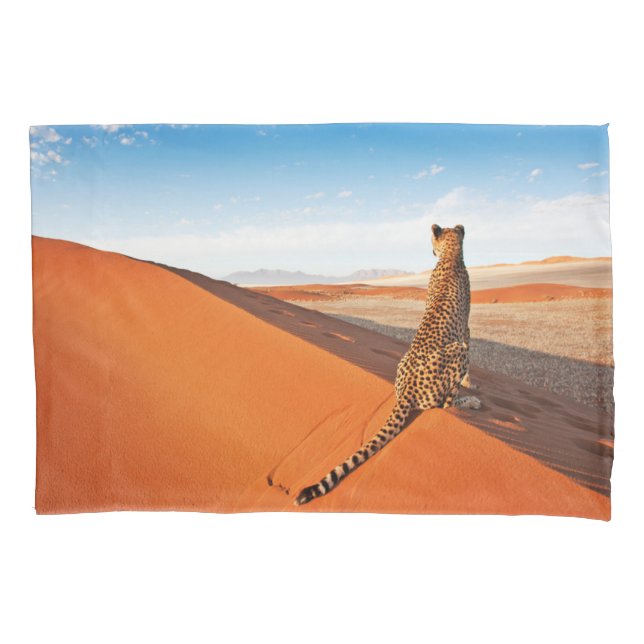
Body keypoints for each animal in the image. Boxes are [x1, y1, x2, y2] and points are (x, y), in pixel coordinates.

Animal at [295, 223, 481, 506]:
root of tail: (407, 390)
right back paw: (470, 402)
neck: (450, 257)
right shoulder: (466, 333)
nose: (430, 251)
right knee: (443, 406)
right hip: (456, 351)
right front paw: (472, 386)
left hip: (403, 361)